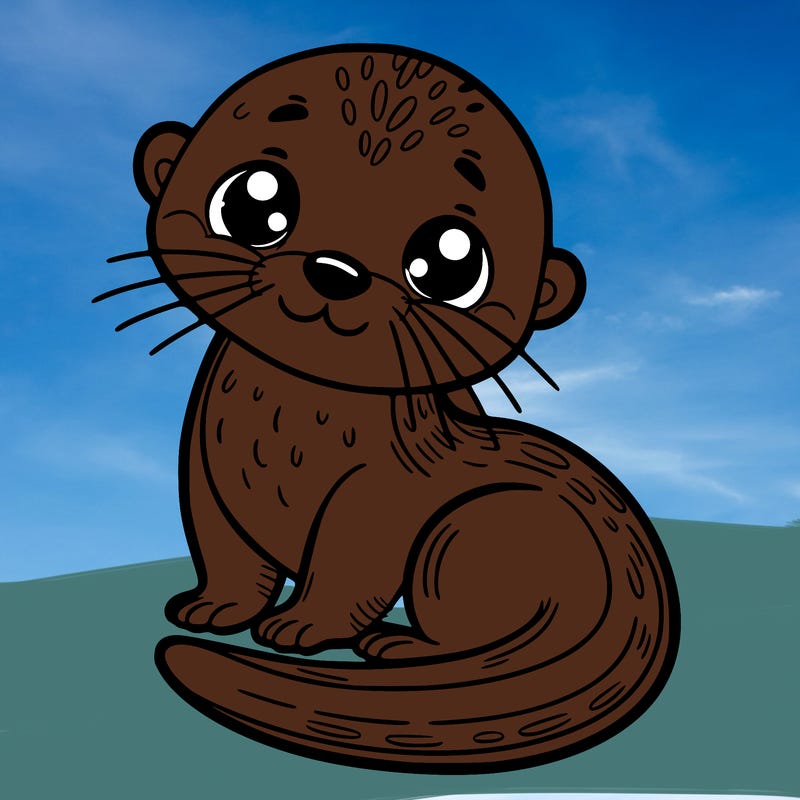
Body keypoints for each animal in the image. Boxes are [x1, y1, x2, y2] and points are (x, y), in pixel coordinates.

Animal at [103, 44, 679, 773]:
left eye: (450, 262)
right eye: (255, 201)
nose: (334, 270)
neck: (286, 428)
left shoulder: (378, 495)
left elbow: (351, 567)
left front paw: (301, 626)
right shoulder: (205, 471)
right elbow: (226, 551)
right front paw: (214, 608)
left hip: (469, 532)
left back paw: (401, 646)